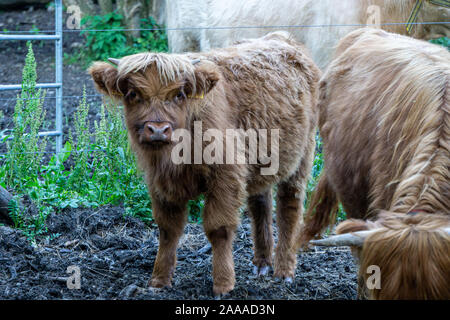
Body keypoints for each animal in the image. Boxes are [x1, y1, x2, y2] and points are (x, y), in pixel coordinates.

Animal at [88, 31, 320, 296]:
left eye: (178, 95)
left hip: (302, 156)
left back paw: (284, 271)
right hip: (262, 163)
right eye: (133, 94)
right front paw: (159, 280)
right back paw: (262, 264)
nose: (157, 130)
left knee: (289, 208)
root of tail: (281, 37)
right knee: (261, 204)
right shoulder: (159, 183)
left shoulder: (226, 178)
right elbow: (168, 229)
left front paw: (223, 284)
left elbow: (218, 228)